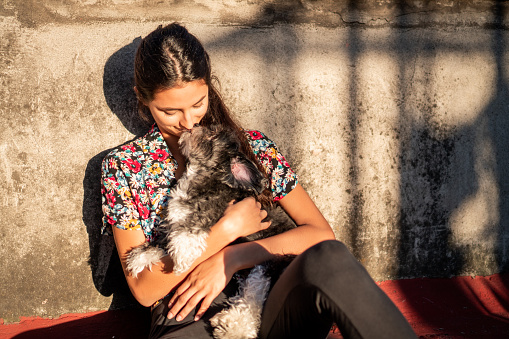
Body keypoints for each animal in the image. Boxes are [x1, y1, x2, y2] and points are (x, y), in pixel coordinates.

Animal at [124, 125, 296, 339]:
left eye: (212, 133)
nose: (194, 126)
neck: (199, 176)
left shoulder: (208, 215)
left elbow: (186, 234)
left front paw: (182, 258)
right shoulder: (172, 222)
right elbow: (162, 243)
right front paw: (140, 257)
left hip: (270, 262)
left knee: (255, 294)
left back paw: (231, 327)